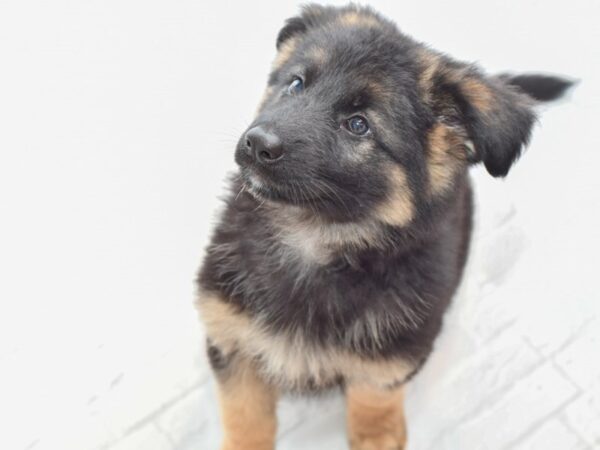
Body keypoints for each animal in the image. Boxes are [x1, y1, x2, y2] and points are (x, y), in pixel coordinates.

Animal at [197, 4, 572, 450]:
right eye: (296, 84)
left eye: (358, 125)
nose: (256, 143)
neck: (317, 239)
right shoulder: (232, 339)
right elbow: (246, 418)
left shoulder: (390, 356)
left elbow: (373, 398)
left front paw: (376, 433)